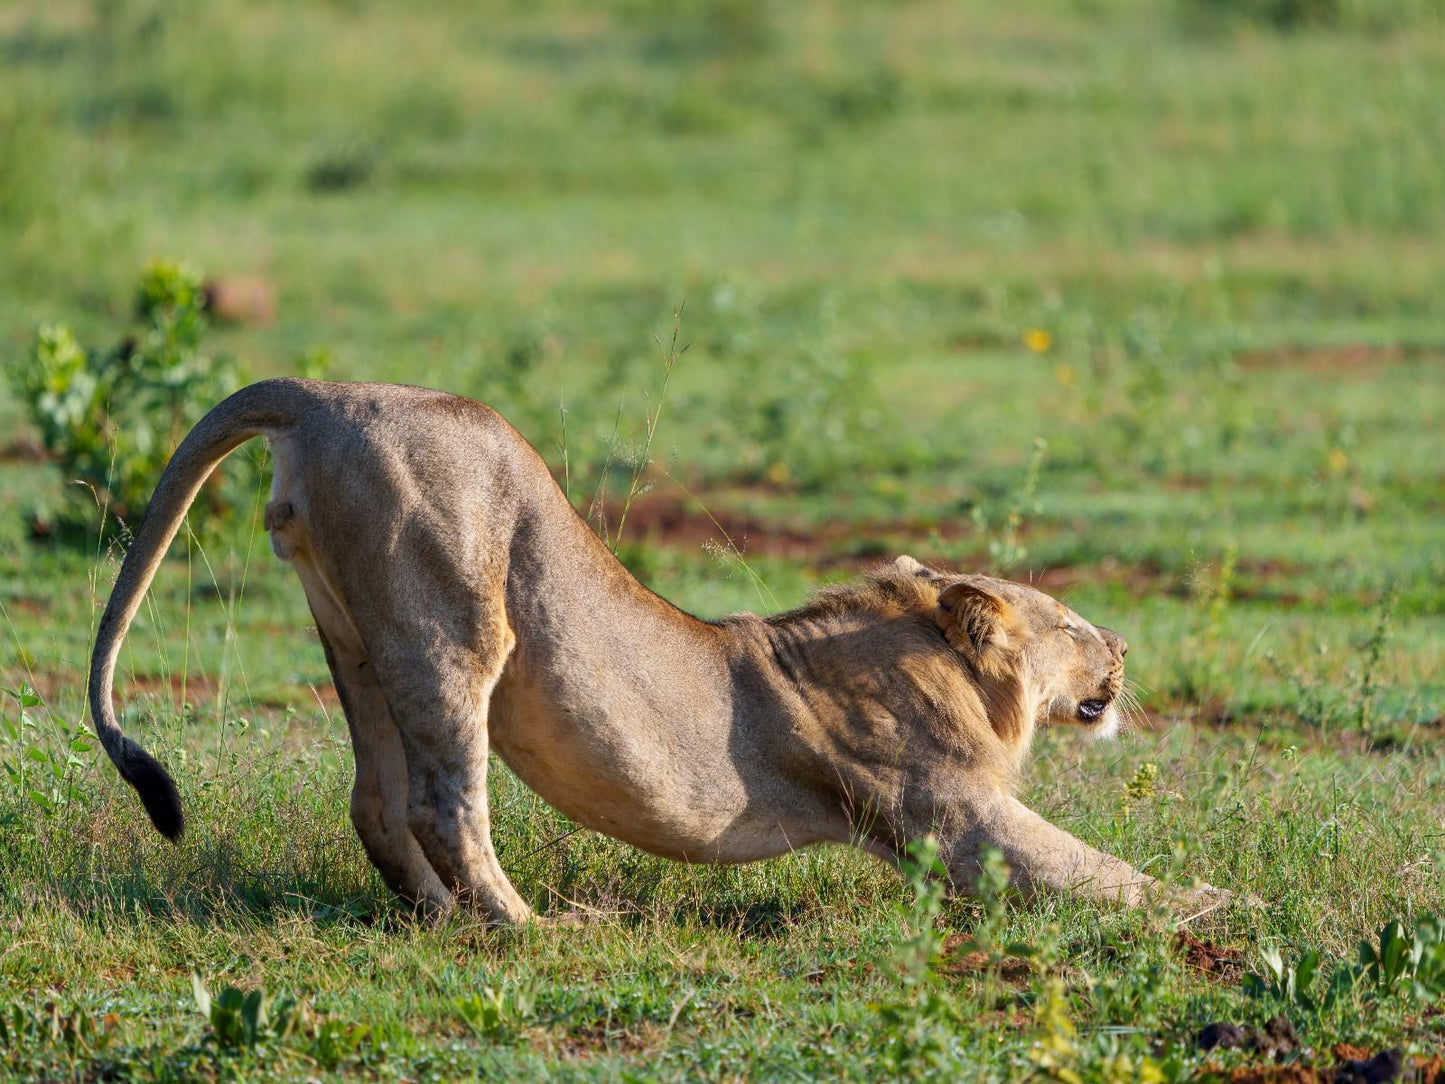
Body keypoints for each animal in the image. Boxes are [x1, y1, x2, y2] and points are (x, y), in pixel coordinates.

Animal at [87, 381, 1219, 925]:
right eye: (1070, 623)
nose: (1121, 646)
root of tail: (326, 393)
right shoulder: (948, 815)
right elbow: (1095, 872)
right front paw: (1217, 906)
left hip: (351, 630)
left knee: (375, 799)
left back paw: (441, 920)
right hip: (455, 611)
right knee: (442, 801)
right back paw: (529, 927)